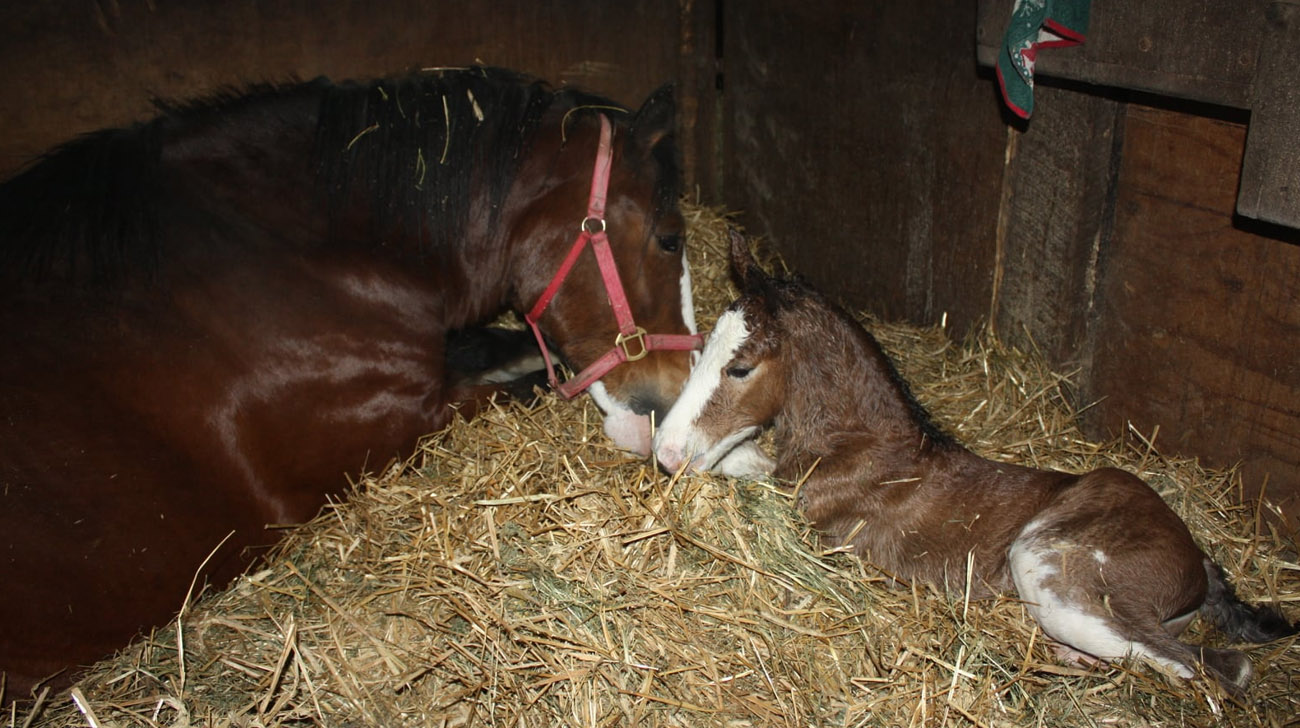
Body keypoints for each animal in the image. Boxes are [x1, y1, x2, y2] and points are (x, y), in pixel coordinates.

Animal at [655, 230, 1294, 696]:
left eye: (740, 368)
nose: (665, 453)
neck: (867, 450)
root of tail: (1197, 560)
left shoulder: (808, 514)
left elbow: (733, 466)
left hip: (1048, 564)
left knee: (1212, 667)